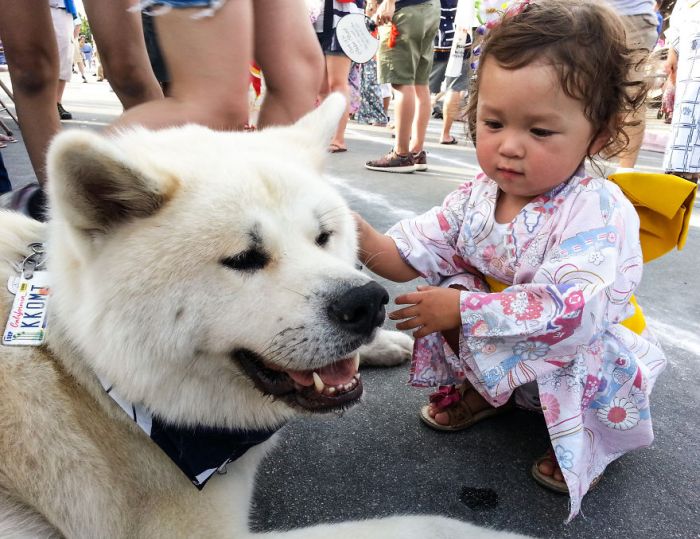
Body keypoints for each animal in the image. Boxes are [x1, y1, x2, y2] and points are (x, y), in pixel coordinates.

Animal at [0, 97, 524, 539]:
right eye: (244, 259)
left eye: (323, 237)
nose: (368, 303)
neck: (86, 372)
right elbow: (422, 524)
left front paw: (387, 343)